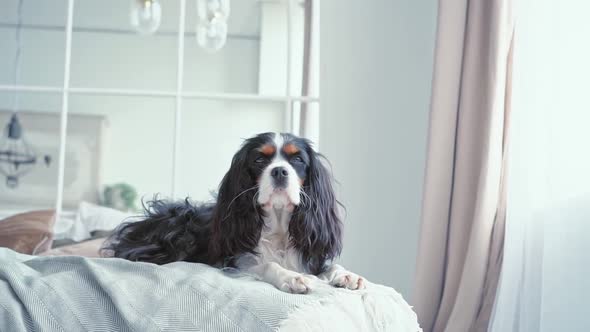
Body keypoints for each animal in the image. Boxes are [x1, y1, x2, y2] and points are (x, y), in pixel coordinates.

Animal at [105, 132, 366, 294]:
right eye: (259, 159)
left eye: (298, 160)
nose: (280, 171)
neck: (278, 225)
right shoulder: (236, 260)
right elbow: (268, 265)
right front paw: (291, 278)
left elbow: (330, 266)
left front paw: (347, 275)